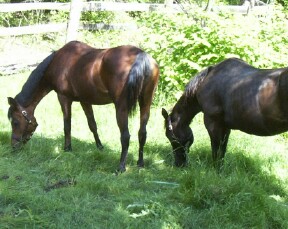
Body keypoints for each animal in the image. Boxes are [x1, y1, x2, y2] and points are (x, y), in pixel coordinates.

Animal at [7, 40, 160, 172]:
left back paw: (121, 167)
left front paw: (67, 148)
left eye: (15, 122)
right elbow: (92, 125)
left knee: (125, 136)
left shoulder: (64, 98)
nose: (13, 146)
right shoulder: (85, 100)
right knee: (142, 133)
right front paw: (100, 146)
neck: (58, 62)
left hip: (121, 107)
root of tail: (141, 55)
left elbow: (67, 125)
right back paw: (140, 163)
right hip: (146, 103)